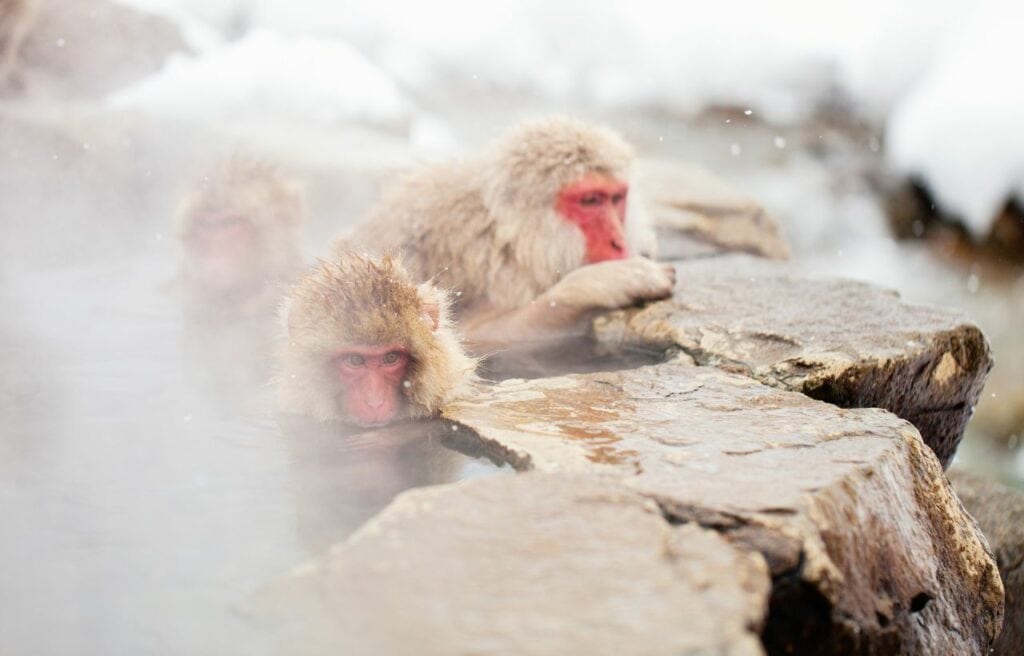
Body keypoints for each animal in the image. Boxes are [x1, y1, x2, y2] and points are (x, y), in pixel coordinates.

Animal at [330, 116, 676, 353]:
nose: (619, 242)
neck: (510, 241)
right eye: (590, 201)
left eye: (616, 198)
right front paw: (601, 283)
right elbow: (470, 336)